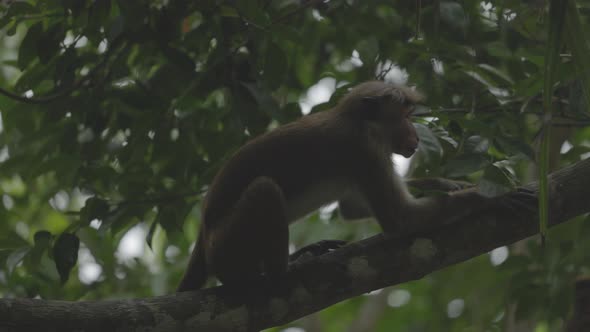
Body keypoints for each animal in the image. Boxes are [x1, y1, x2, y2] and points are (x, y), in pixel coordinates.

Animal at [177, 80, 532, 290]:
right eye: (404, 116)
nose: (416, 136)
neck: (359, 121)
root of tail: (203, 234)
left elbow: (353, 206)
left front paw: (449, 183)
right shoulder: (362, 149)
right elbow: (400, 220)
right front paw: (489, 198)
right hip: (226, 244)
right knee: (264, 188)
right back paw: (283, 271)